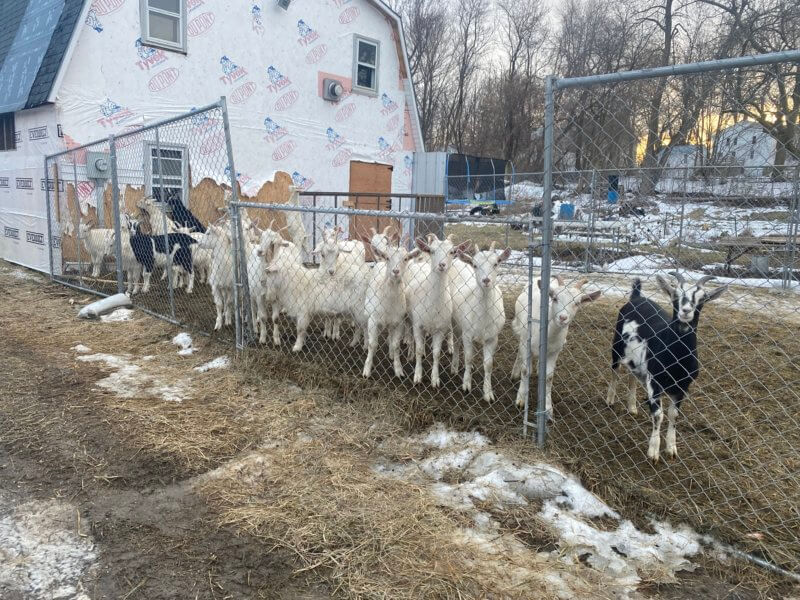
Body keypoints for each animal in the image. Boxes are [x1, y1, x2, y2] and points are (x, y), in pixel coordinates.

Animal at [512, 276, 600, 418]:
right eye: (555, 298)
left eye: (577, 303)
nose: (563, 317)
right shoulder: (526, 343)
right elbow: (525, 370)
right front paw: (521, 399)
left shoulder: (554, 351)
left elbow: (549, 376)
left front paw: (548, 408)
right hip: (519, 330)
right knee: (519, 352)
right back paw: (515, 372)